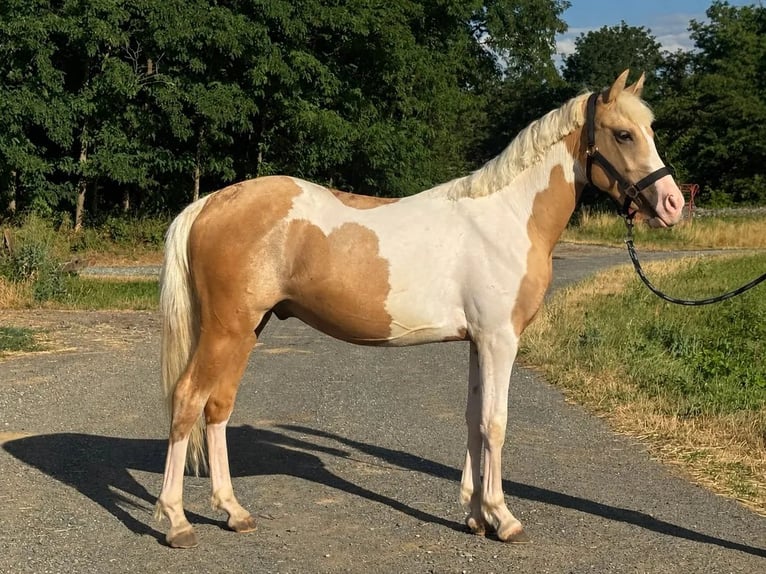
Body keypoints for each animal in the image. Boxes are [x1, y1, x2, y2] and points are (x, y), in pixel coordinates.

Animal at [154, 70, 685, 548]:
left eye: (650, 129)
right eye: (623, 133)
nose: (673, 204)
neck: (509, 217)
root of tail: (209, 203)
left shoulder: (479, 342)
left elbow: (474, 419)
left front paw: (476, 517)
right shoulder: (500, 339)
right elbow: (496, 423)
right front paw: (503, 518)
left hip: (246, 329)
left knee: (217, 407)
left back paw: (233, 512)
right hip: (227, 329)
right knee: (188, 400)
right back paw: (177, 521)